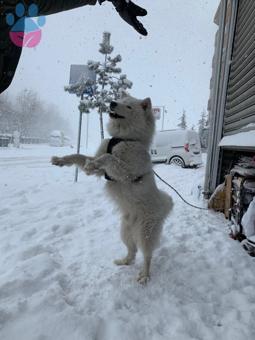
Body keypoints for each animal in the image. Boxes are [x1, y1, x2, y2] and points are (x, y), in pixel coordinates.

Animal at [51, 93, 173, 284]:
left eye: (129, 106)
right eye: (120, 101)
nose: (112, 103)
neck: (124, 138)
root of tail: (164, 205)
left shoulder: (125, 172)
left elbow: (108, 157)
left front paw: (92, 163)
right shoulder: (104, 171)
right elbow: (80, 156)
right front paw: (61, 160)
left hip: (145, 234)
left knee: (147, 256)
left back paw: (144, 276)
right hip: (125, 232)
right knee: (132, 251)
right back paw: (123, 261)